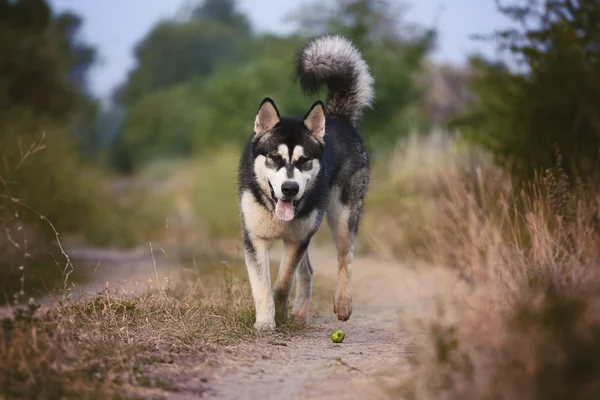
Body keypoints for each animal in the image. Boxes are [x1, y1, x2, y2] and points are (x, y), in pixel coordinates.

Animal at [236, 34, 372, 330]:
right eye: (275, 158)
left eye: (304, 160)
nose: (290, 188)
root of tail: (338, 118)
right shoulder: (255, 239)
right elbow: (263, 287)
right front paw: (266, 322)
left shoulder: (297, 240)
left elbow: (283, 282)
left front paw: (279, 306)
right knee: (308, 270)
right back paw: (299, 314)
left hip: (341, 217)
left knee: (346, 256)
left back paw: (342, 303)